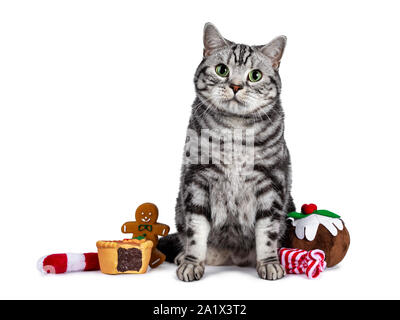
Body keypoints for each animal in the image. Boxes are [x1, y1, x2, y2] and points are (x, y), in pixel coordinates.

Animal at [158, 23, 296, 282]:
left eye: (255, 75)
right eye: (222, 70)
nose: (235, 85)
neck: (235, 130)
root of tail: (234, 259)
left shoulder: (271, 182)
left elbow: (267, 233)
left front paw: (269, 263)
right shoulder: (198, 179)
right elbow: (196, 232)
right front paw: (192, 263)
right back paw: (184, 256)